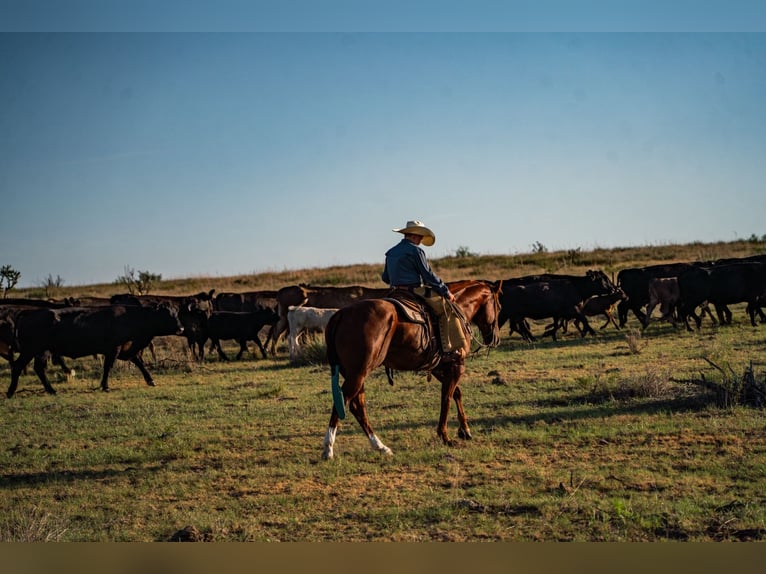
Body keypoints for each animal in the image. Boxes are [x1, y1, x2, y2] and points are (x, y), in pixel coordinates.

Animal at [321, 279, 503, 460]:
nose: (495, 339)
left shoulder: (439, 367)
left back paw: (380, 446)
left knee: (357, 405)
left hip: (354, 374)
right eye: (499, 306)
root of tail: (341, 314)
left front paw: (464, 430)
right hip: (358, 374)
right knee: (344, 402)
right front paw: (445, 436)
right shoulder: (457, 365)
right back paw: (328, 448)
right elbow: (447, 397)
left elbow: (456, 393)